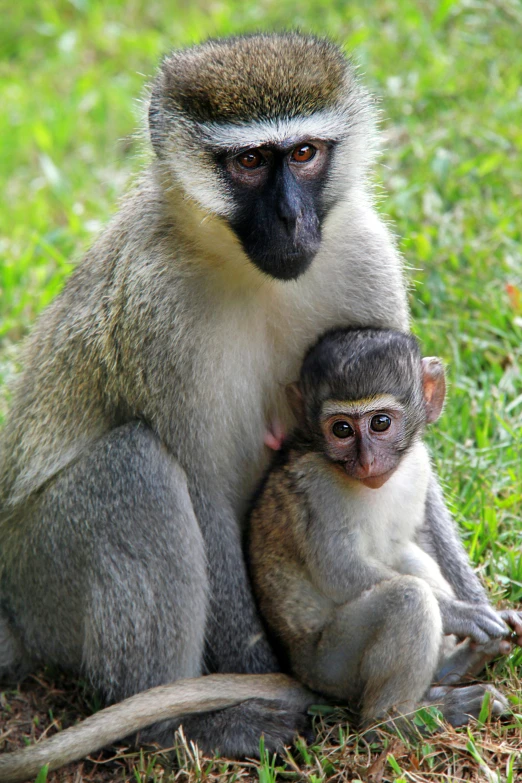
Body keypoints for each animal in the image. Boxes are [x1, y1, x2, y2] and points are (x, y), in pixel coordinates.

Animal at [249, 328, 516, 732]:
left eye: (380, 424)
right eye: (341, 429)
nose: (367, 461)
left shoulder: (417, 462)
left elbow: (417, 535)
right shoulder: (320, 489)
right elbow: (337, 569)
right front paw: (461, 613)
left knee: (407, 556)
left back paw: (455, 666)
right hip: (332, 663)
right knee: (408, 597)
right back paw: (397, 718)